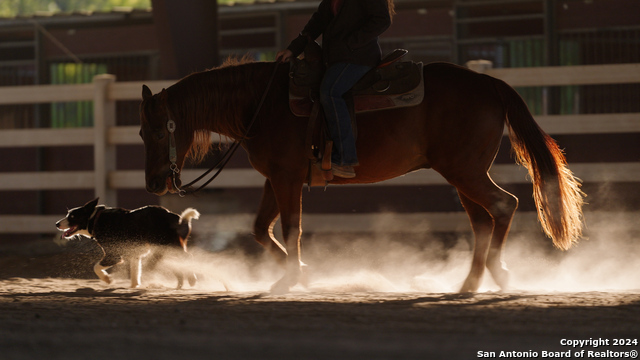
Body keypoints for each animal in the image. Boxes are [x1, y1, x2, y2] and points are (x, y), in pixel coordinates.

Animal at [56, 198, 199, 288]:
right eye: (68, 214)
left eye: (72, 216)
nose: (57, 224)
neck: (95, 219)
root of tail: (175, 217)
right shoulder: (134, 254)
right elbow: (135, 273)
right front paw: (134, 287)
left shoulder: (114, 255)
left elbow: (96, 267)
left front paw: (107, 279)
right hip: (164, 249)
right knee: (180, 264)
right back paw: (180, 284)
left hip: (167, 244)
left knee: (189, 257)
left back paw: (192, 279)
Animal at [140, 59, 584, 294]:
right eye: (142, 132)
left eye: (160, 131)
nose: (154, 184)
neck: (260, 105)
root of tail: (489, 83)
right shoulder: (275, 179)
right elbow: (260, 229)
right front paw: (301, 273)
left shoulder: (286, 179)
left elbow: (290, 228)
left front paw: (291, 278)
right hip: (462, 175)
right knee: (483, 221)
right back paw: (470, 283)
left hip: (465, 171)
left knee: (503, 206)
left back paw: (497, 273)